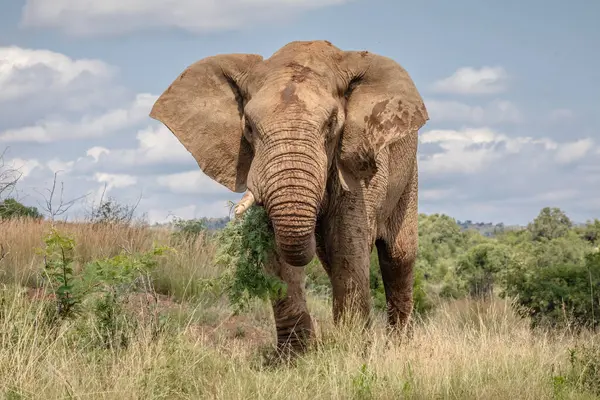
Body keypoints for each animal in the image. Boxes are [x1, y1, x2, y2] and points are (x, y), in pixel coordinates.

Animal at [151, 40, 432, 354]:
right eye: (249, 127)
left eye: (332, 124)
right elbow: (275, 248)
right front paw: (295, 357)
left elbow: (347, 243)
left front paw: (351, 350)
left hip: (409, 177)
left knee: (398, 257)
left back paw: (399, 346)